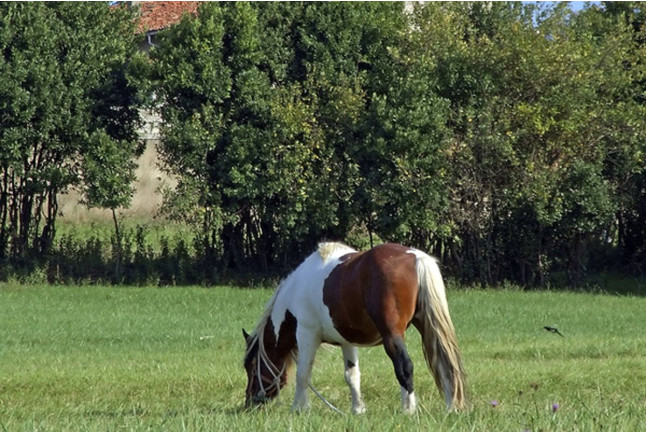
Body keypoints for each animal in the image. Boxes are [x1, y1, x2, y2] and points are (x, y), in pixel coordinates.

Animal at [242, 242, 466, 414]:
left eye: (251, 366)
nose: (249, 403)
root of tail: (415, 257)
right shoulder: (347, 342)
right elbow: (352, 376)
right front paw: (358, 410)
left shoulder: (307, 334)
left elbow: (303, 374)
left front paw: (299, 408)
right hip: (427, 327)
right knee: (444, 364)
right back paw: (449, 407)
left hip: (392, 335)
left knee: (405, 367)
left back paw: (408, 410)